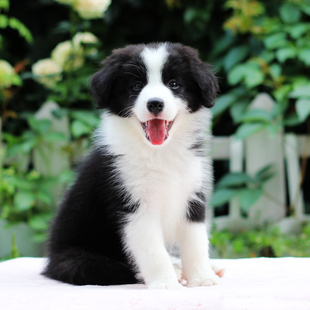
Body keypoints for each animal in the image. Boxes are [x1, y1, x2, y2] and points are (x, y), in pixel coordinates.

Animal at [43, 42, 222, 290]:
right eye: (137, 86)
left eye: (174, 84)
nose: (155, 103)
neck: (159, 153)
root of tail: (51, 261)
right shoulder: (131, 204)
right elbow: (153, 250)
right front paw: (166, 284)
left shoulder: (192, 195)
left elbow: (195, 241)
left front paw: (202, 278)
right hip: (77, 262)